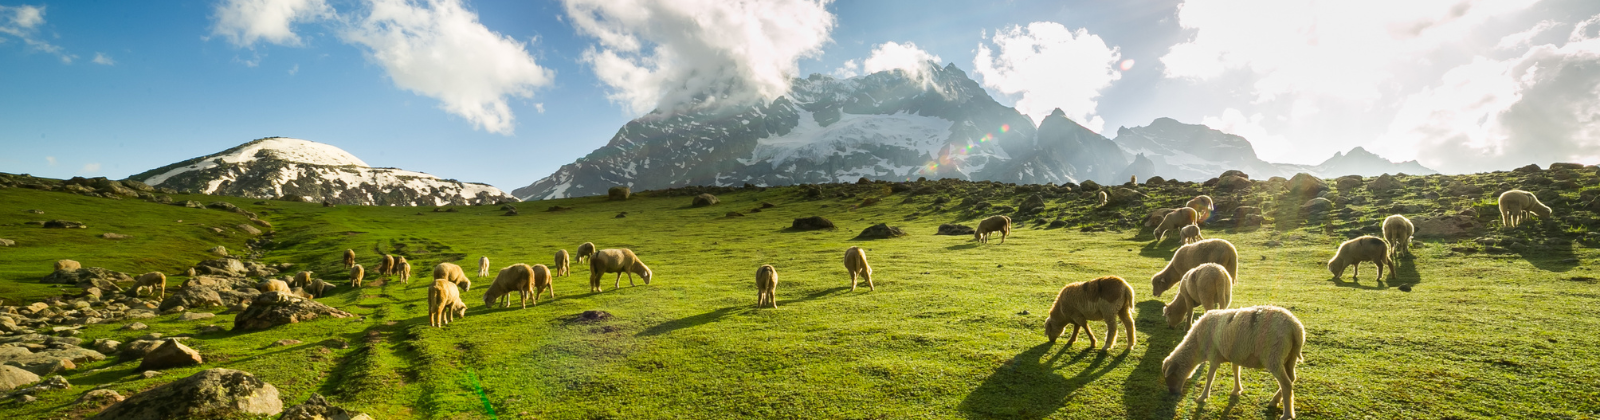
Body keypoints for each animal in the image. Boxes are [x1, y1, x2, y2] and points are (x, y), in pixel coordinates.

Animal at [1164, 304, 1312, 420]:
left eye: (1171, 376)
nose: (1172, 393)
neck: (1197, 345)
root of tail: (1295, 328)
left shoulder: (1214, 354)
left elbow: (1210, 376)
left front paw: (1202, 397)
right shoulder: (1235, 354)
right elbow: (1235, 370)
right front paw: (1237, 390)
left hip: (1274, 356)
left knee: (1286, 384)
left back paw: (1287, 414)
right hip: (1289, 358)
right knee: (1291, 379)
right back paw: (1275, 400)